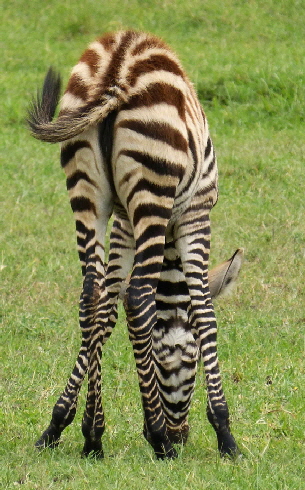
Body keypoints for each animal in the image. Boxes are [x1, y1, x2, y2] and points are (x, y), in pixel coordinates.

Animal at [27, 30, 240, 460]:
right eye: (190, 360)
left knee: (89, 296)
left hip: (88, 194)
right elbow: (204, 312)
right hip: (152, 187)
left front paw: (73, 425)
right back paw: (160, 441)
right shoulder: (196, 214)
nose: (181, 435)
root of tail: (118, 66)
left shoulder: (124, 222)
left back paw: (92, 436)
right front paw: (225, 433)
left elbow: (106, 312)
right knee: (139, 296)